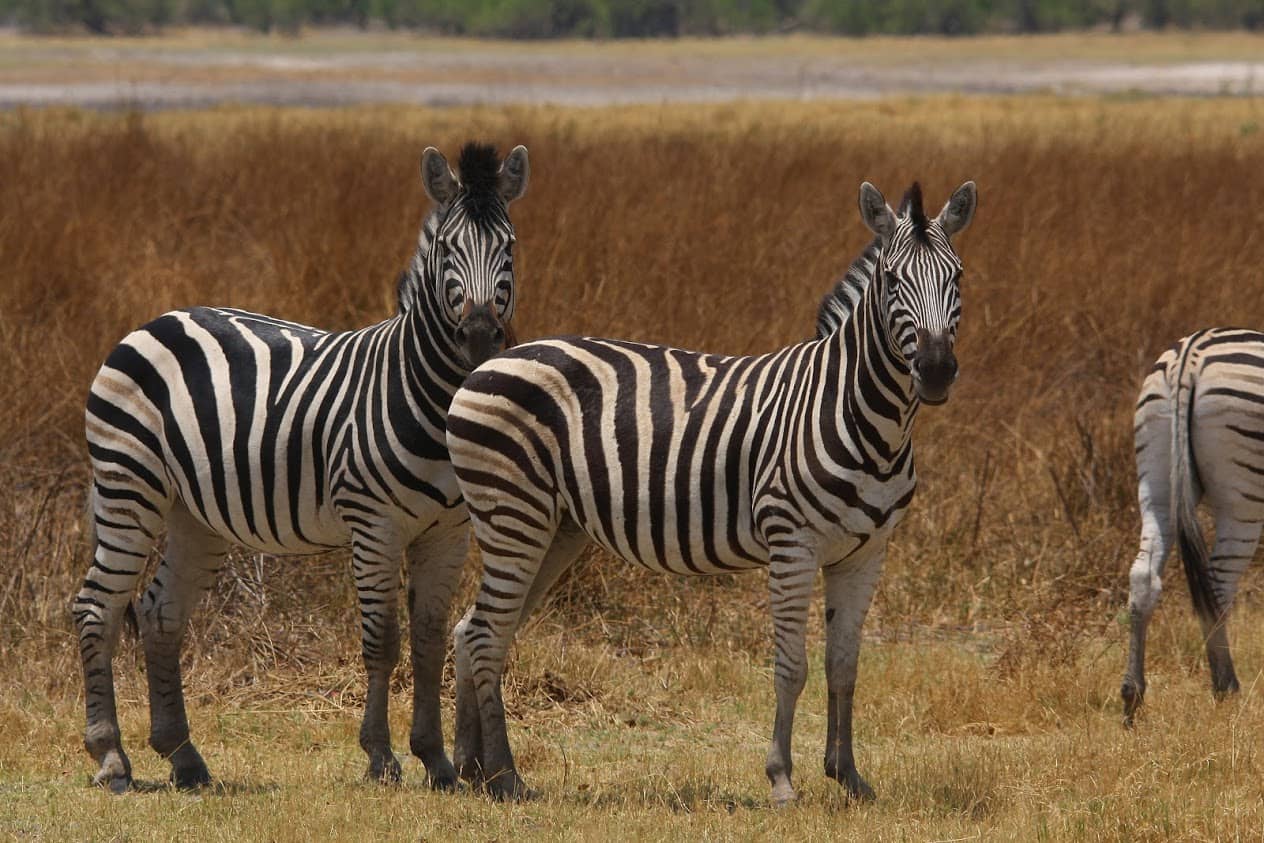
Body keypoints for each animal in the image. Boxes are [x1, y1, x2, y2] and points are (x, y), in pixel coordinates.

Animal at [73, 141, 529, 793]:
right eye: (448, 248)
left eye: (509, 247)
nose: (480, 336)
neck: (425, 393)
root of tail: (155, 321)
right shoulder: (374, 525)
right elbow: (383, 642)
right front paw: (381, 757)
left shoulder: (448, 534)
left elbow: (429, 640)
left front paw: (436, 761)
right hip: (127, 485)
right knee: (98, 608)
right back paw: (111, 757)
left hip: (193, 514)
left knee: (161, 614)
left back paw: (184, 757)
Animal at [445, 179, 978, 804]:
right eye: (893, 279)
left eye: (958, 276)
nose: (936, 370)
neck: (858, 412)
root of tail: (490, 362)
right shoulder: (793, 543)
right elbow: (792, 665)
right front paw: (782, 780)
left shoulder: (866, 553)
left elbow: (844, 666)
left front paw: (848, 776)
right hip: (514, 514)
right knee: (485, 634)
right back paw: (506, 778)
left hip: (553, 530)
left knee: (476, 629)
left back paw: (471, 770)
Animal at [1122, 327, 1264, 725]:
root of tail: (1190, 356)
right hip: (1242, 499)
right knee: (1217, 584)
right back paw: (1225, 687)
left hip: (1155, 478)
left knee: (1143, 577)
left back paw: (1132, 696)